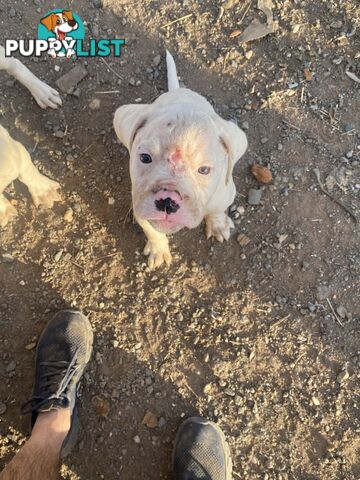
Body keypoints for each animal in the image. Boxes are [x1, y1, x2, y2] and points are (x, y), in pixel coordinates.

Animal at [114, 53, 249, 270]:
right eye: (145, 158)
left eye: (204, 170)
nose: (167, 201)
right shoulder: (140, 206)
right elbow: (152, 230)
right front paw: (158, 250)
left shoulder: (224, 195)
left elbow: (217, 211)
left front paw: (218, 225)